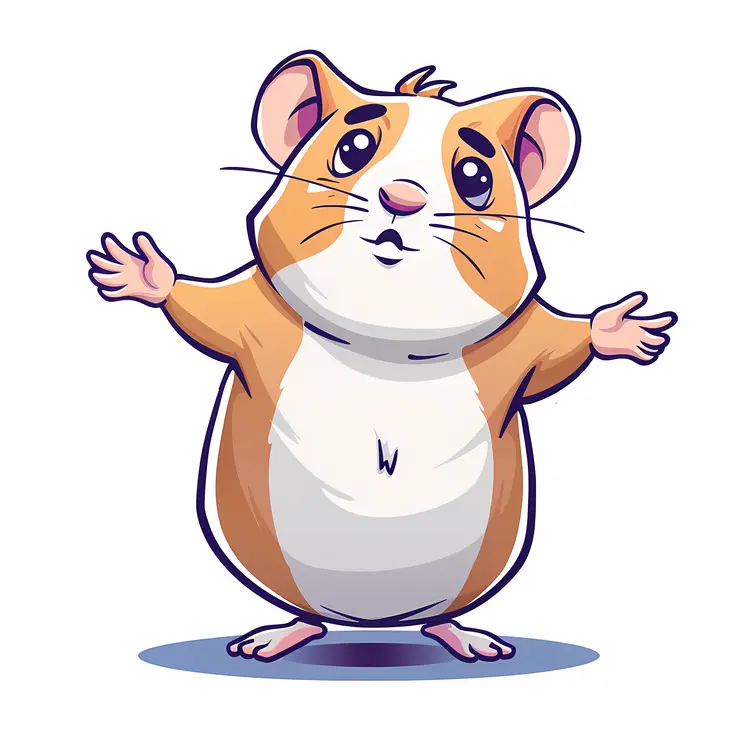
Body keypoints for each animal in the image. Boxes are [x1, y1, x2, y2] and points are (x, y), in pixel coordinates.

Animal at [87, 50, 677, 663]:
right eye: (353, 148)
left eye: (475, 178)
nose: (403, 198)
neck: (384, 342)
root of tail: (372, 621)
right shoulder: (253, 320)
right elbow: (204, 311)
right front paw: (145, 273)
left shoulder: (518, 347)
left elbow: (558, 346)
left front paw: (618, 328)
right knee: (307, 615)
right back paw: (279, 636)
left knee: (439, 617)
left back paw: (463, 637)